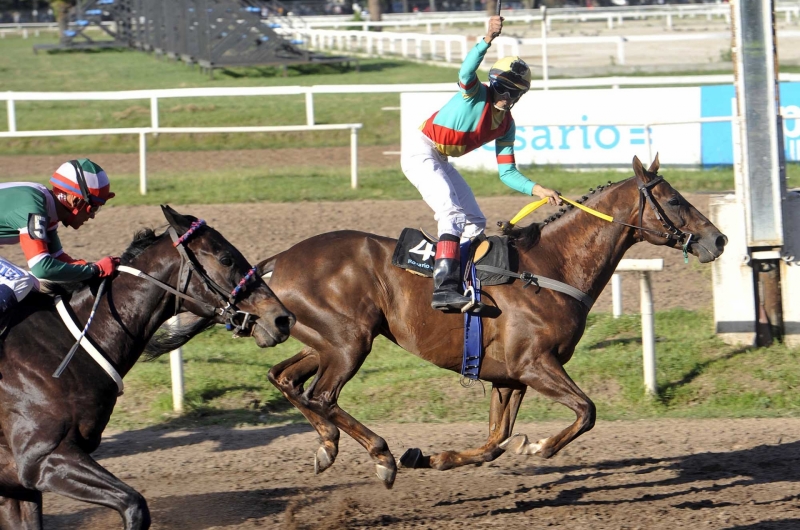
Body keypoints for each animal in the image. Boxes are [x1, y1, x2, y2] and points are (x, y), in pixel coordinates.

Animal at [0, 205, 296, 528]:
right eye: (226, 258)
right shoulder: (43, 459)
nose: (283, 319)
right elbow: (135, 504)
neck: (63, 344)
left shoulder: (18, 484)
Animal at [260, 154, 728, 486]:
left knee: (285, 378)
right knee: (321, 395)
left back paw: (328, 446)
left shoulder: (508, 377)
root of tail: (278, 260)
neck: (549, 267)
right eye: (674, 200)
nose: (718, 239)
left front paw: (433, 457)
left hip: (325, 340)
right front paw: (538, 447)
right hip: (349, 341)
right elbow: (587, 411)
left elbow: (494, 442)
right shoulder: (533, 364)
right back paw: (381, 456)